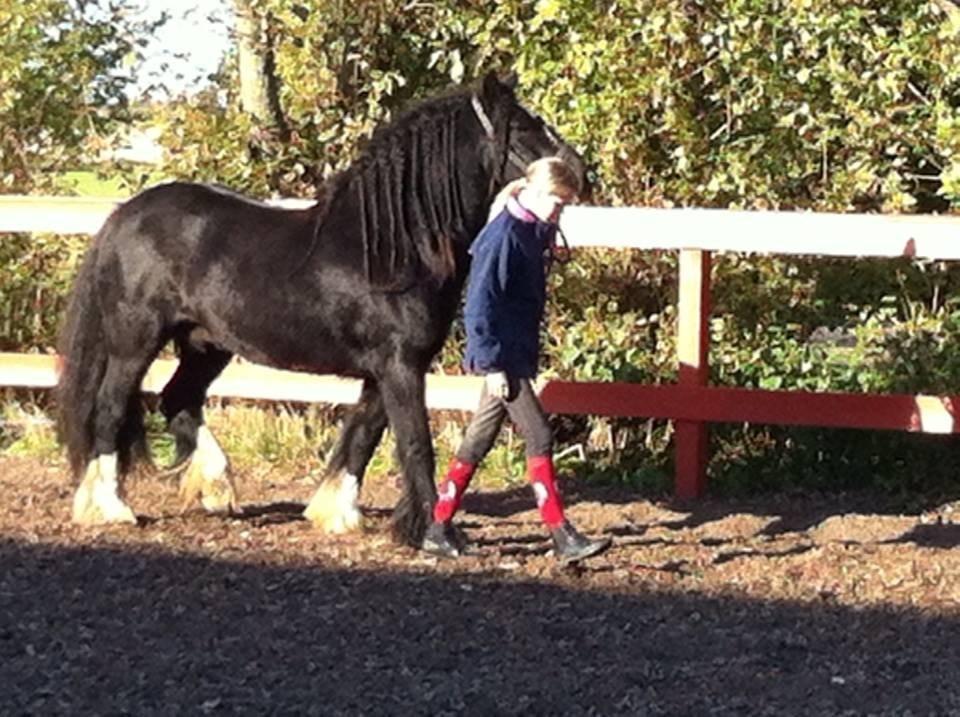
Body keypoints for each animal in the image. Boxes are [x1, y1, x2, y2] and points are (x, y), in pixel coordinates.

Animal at [60, 71, 588, 544]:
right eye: (521, 127)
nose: (578, 172)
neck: (393, 249)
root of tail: (123, 217)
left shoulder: (386, 369)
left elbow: (361, 436)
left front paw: (336, 512)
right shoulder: (399, 365)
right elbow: (414, 442)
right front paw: (436, 536)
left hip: (205, 345)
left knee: (178, 399)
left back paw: (217, 487)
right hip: (135, 342)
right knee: (110, 408)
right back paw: (111, 507)